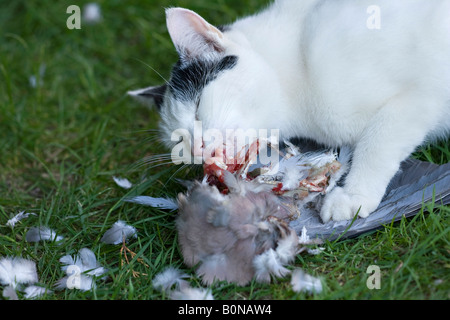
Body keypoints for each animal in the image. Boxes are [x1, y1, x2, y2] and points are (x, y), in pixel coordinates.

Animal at [130, 0, 450, 221]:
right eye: (178, 140)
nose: (197, 148)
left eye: (197, 107)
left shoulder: (423, 94)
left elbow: (377, 143)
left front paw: (353, 195)